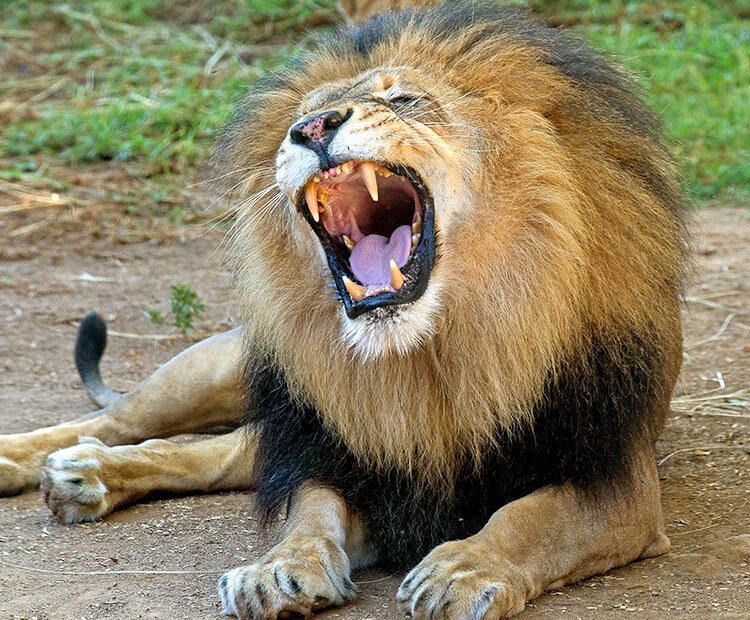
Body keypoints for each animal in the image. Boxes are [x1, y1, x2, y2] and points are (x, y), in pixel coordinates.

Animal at [1, 2, 692, 616]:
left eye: (404, 99)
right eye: (300, 118)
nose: (311, 129)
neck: (427, 352)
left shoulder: (616, 477)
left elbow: (529, 518)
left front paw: (465, 570)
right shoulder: (337, 455)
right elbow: (307, 514)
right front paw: (278, 570)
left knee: (222, 454)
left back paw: (86, 476)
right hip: (225, 372)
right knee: (127, 422)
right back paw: (52, 461)